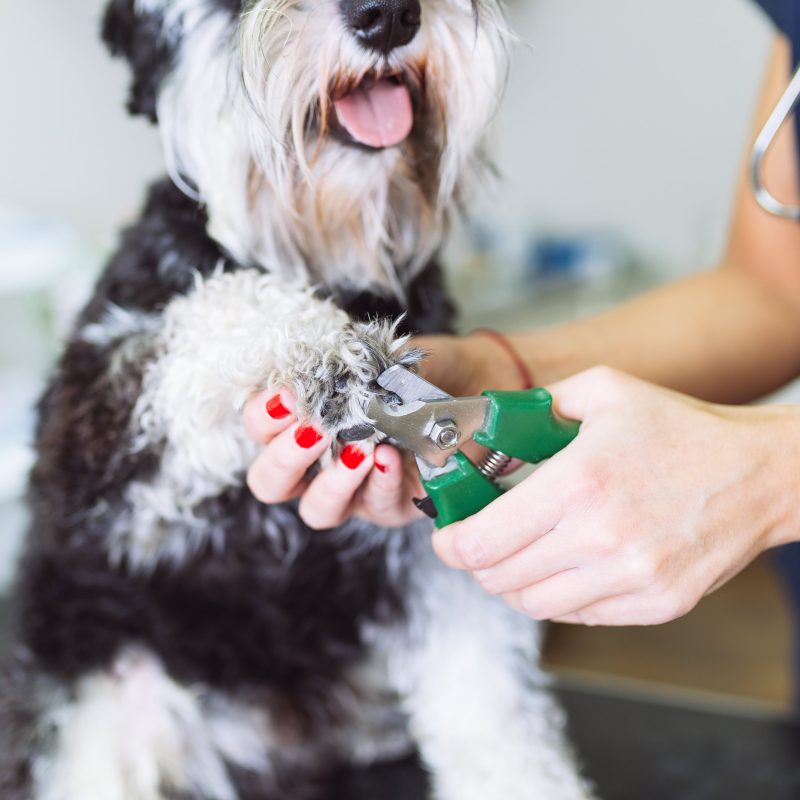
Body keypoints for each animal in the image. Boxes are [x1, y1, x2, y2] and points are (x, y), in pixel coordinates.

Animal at [0, 0, 592, 796]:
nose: (387, 16)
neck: (327, 257)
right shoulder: (94, 442)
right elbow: (219, 309)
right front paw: (326, 353)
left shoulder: (434, 562)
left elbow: (496, 717)